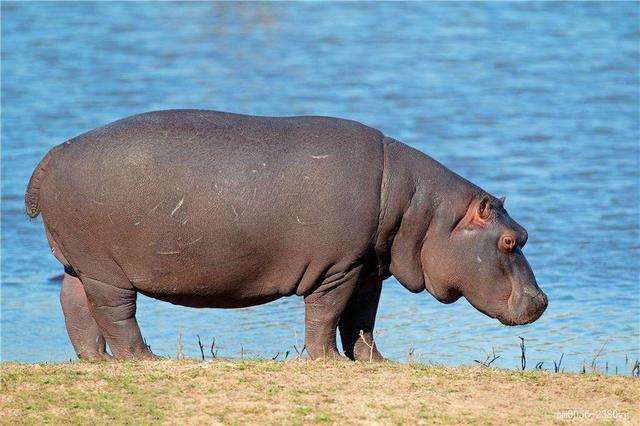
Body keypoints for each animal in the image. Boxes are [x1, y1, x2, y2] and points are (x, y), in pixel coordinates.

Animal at [23, 110, 544, 360]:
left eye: (523, 232)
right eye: (508, 241)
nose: (541, 301)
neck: (424, 211)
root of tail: (53, 153)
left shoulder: (367, 268)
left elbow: (362, 319)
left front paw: (375, 362)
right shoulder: (338, 268)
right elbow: (327, 314)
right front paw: (326, 361)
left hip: (80, 262)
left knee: (74, 303)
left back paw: (96, 361)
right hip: (107, 269)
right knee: (116, 313)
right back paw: (144, 359)